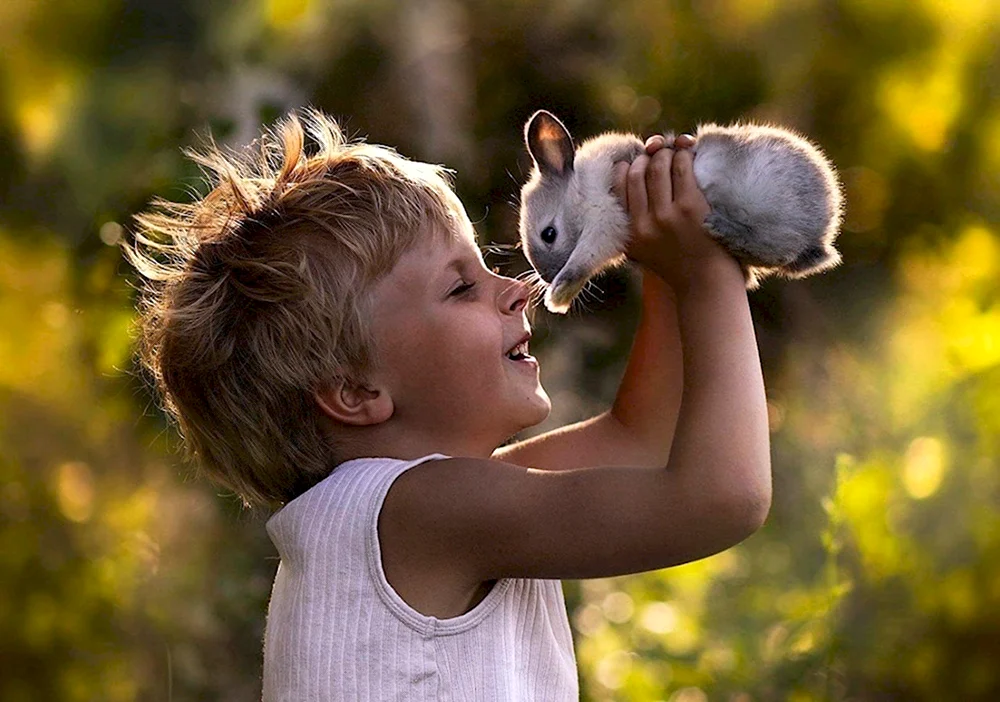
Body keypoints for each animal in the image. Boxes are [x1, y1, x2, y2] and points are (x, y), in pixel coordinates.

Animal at [520, 110, 840, 314]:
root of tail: (822, 233)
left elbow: (583, 259)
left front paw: (557, 297)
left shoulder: (605, 219)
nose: (546, 276)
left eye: (549, 234)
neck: (580, 190)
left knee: (781, 248)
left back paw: (723, 228)